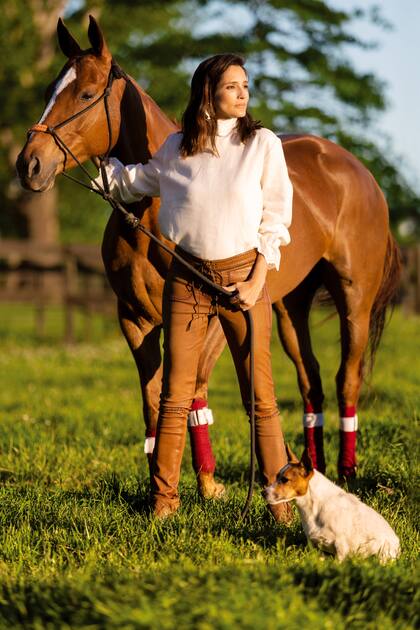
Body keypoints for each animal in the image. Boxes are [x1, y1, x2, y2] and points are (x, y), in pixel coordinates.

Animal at [15, 16, 400, 488]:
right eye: (49, 90)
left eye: (86, 94)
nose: (29, 164)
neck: (152, 211)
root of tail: (356, 169)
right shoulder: (135, 319)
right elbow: (155, 397)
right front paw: (160, 479)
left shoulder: (215, 319)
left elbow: (194, 388)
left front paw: (207, 482)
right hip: (290, 307)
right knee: (310, 379)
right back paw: (315, 470)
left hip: (354, 298)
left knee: (348, 377)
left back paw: (346, 471)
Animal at [266, 446, 400, 564]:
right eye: (276, 477)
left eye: (285, 480)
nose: (263, 492)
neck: (314, 506)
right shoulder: (316, 547)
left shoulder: (341, 547)